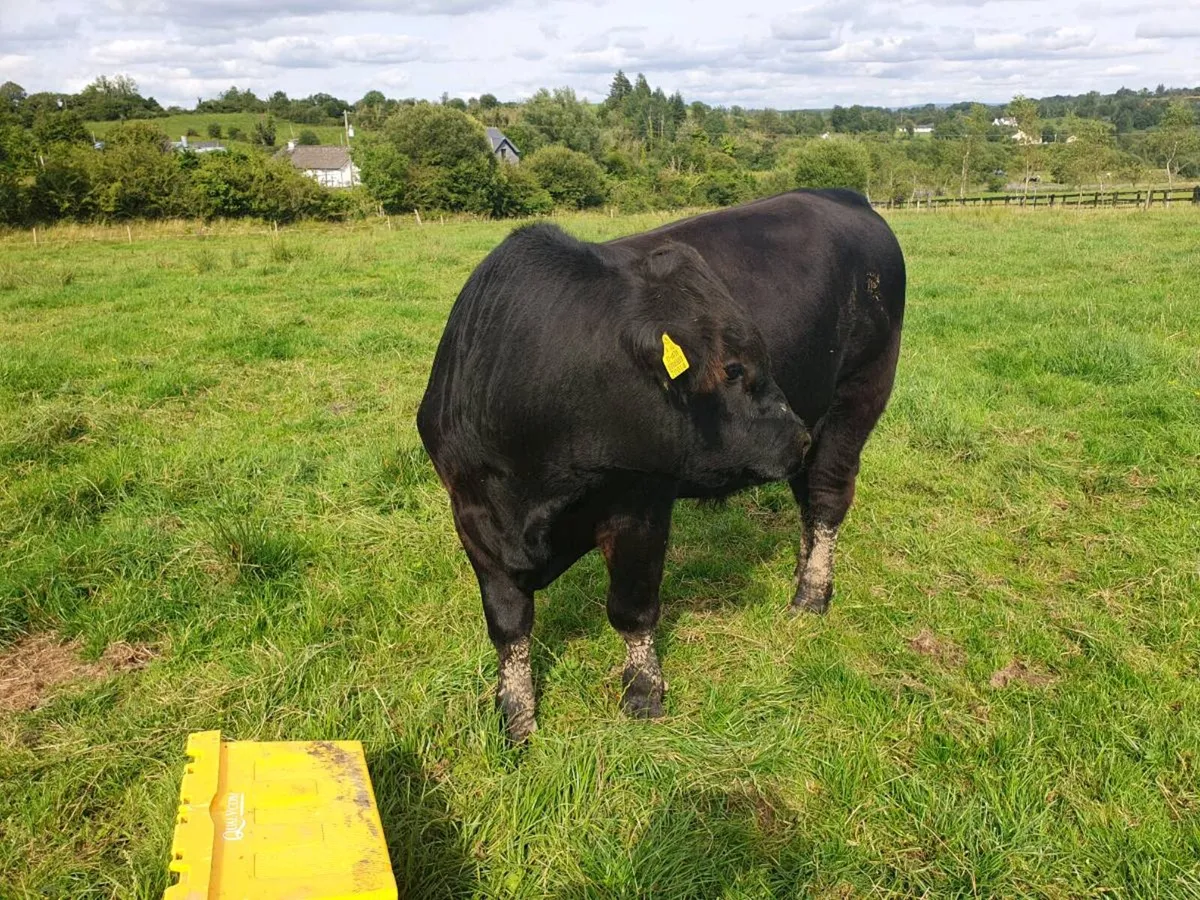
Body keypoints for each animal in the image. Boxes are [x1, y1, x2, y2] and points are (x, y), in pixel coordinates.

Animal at [417, 189, 905, 741]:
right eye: (731, 369)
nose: (796, 434)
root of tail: (842, 196)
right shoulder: (472, 518)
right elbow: (508, 624)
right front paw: (516, 714)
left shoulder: (641, 505)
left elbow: (631, 608)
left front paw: (643, 690)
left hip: (856, 399)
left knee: (826, 499)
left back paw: (811, 593)